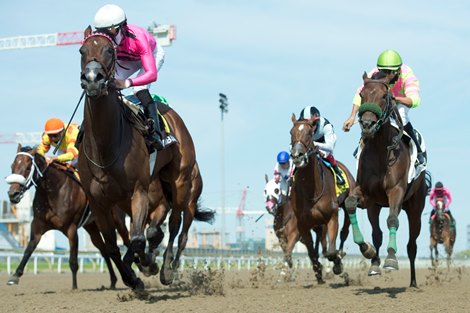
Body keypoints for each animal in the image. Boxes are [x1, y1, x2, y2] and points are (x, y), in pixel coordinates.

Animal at [5, 144, 126, 288]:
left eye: (28, 168)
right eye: (12, 166)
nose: (13, 194)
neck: (54, 192)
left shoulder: (71, 228)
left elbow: (73, 261)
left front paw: (74, 287)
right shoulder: (38, 225)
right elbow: (29, 249)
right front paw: (15, 276)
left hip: (118, 220)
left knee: (127, 240)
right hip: (92, 226)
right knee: (104, 249)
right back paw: (113, 281)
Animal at [288, 114, 354, 282]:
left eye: (309, 133)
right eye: (291, 132)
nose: (297, 156)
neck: (311, 190)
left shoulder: (331, 217)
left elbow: (330, 251)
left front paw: (337, 265)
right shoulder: (303, 224)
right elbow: (312, 253)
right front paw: (318, 272)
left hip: (348, 205)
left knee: (344, 232)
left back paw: (342, 254)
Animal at [346, 72, 430, 286]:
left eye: (385, 96)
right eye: (362, 94)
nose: (367, 124)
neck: (380, 153)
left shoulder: (396, 191)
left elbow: (392, 219)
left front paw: (391, 258)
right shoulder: (366, 194)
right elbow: (351, 204)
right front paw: (367, 250)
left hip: (415, 209)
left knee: (412, 245)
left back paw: (413, 282)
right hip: (376, 206)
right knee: (377, 234)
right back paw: (375, 263)